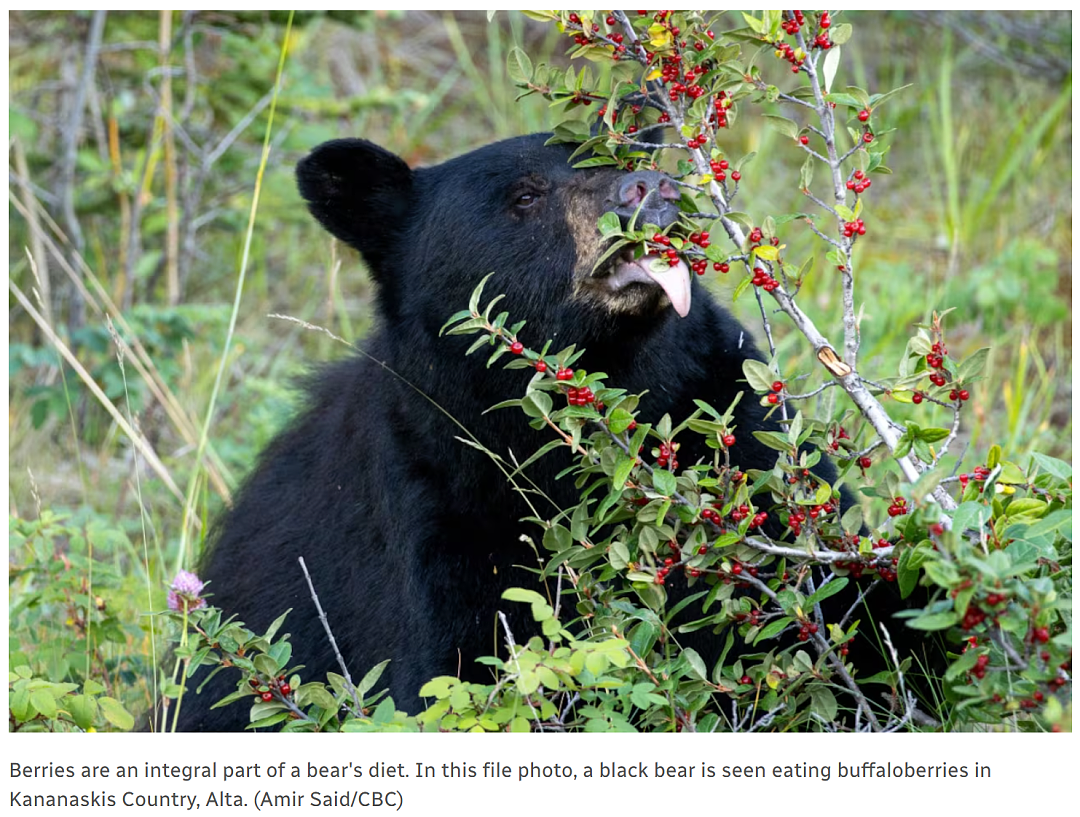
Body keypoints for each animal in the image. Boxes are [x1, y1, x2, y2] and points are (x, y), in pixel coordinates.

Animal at [174, 133, 931, 731]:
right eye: (524, 196)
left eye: (614, 152)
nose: (649, 187)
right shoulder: (439, 513)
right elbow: (461, 667)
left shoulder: (734, 428)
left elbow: (847, 599)